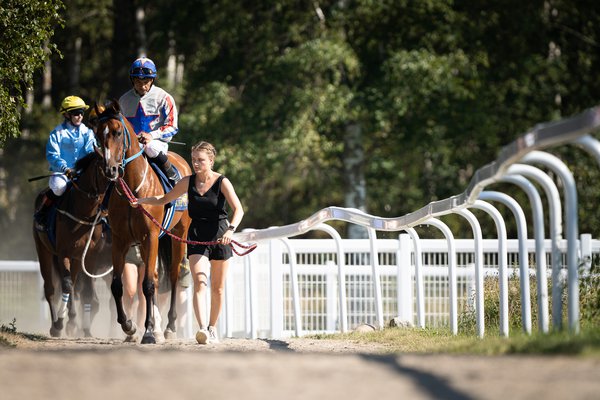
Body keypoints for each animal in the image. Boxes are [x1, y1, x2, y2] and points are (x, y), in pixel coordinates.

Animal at [32, 152, 112, 336]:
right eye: (102, 166)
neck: (83, 215)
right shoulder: (63, 253)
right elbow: (67, 286)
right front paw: (60, 324)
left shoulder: (89, 257)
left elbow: (86, 293)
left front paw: (84, 330)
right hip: (44, 251)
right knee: (51, 288)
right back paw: (56, 324)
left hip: (76, 259)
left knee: (73, 286)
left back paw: (72, 322)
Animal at [92, 99, 191, 344]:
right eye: (98, 133)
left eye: (118, 132)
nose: (110, 169)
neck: (135, 188)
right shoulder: (120, 240)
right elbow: (117, 286)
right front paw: (129, 326)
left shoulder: (151, 236)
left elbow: (147, 285)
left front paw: (147, 331)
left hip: (179, 234)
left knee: (173, 276)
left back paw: (169, 326)